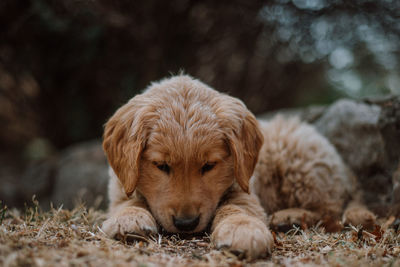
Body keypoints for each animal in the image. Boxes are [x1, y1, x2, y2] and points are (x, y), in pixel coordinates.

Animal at [101, 75, 376, 260]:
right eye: (161, 165)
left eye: (209, 165)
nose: (186, 224)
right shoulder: (121, 186)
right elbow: (129, 202)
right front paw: (129, 219)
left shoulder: (245, 190)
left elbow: (236, 207)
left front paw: (241, 230)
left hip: (299, 157)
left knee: (330, 210)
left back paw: (289, 217)